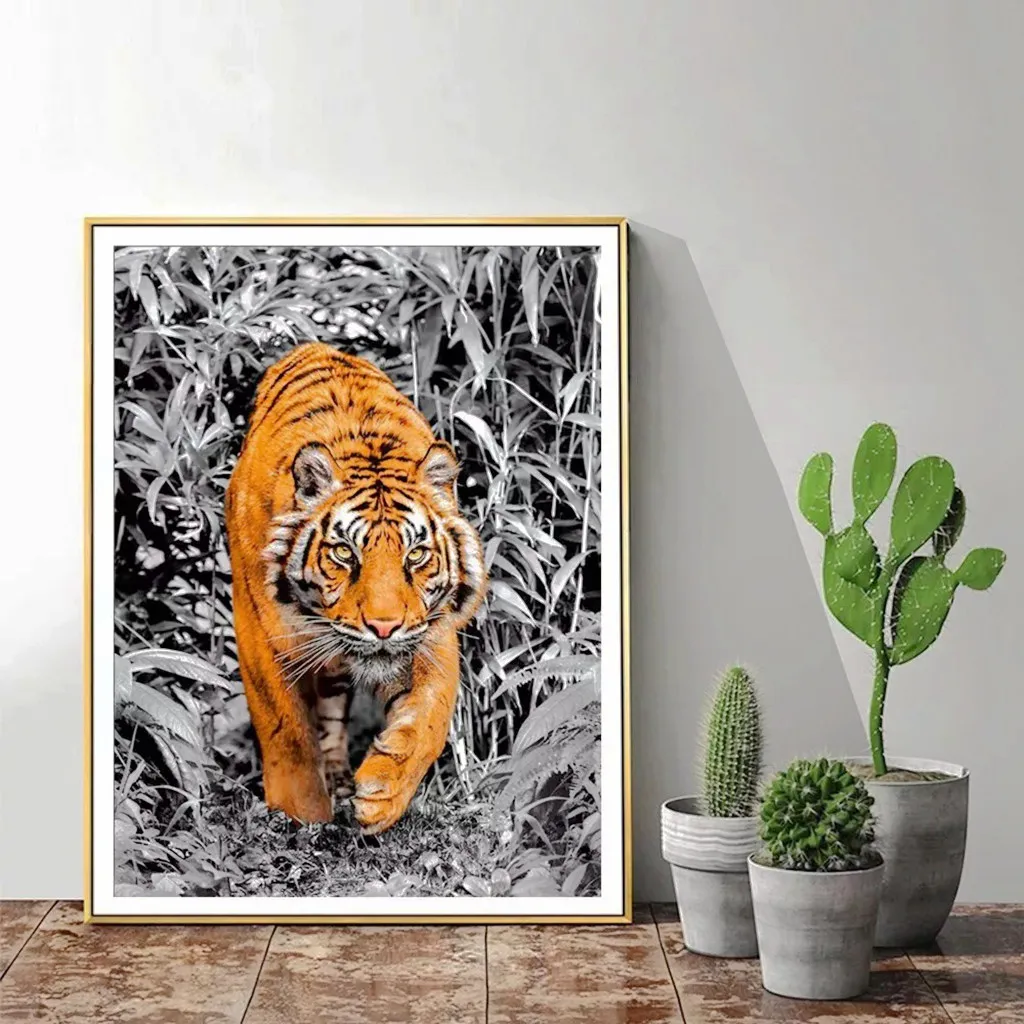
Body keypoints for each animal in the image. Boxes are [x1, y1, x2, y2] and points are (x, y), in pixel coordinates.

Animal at [225, 342, 487, 834]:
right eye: (345, 553)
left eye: (416, 555)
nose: (383, 628)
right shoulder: (259, 632)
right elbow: (286, 728)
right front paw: (302, 814)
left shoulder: (432, 633)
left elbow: (431, 718)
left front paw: (382, 792)